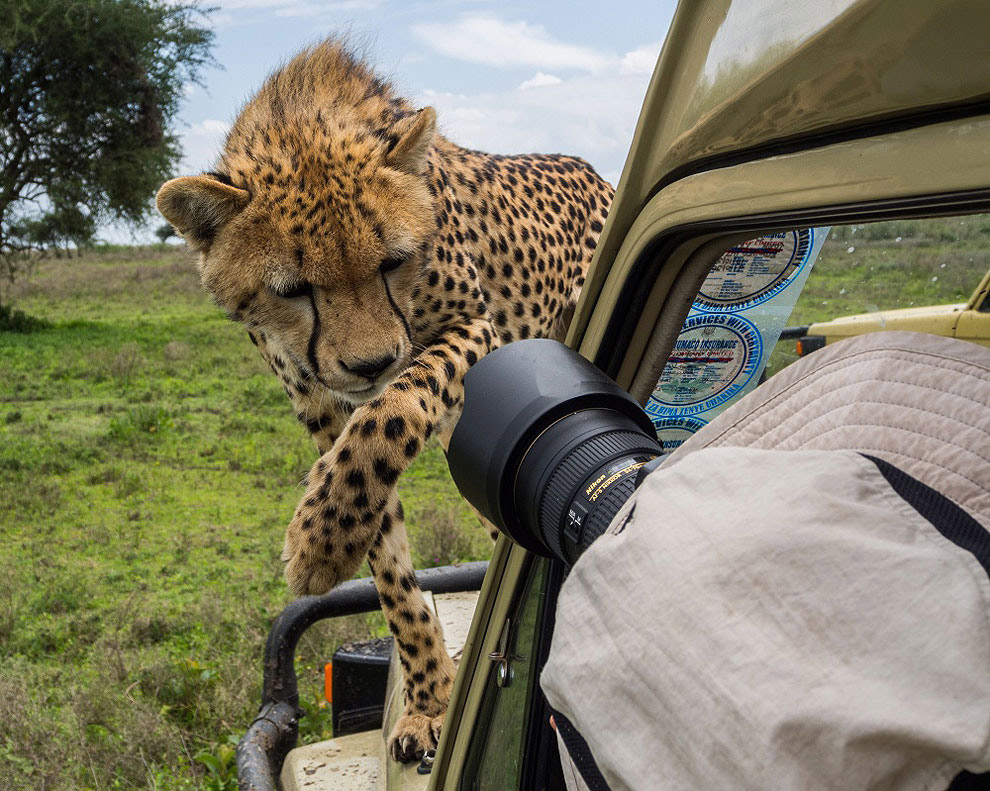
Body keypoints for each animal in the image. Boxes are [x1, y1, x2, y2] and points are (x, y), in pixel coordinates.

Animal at [157, 40, 612, 764]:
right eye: (293, 287)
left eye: (393, 260)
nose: (369, 363)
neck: (303, 123)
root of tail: (588, 167)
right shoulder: (322, 411)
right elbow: (386, 559)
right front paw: (429, 700)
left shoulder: (471, 331)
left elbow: (392, 412)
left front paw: (317, 543)